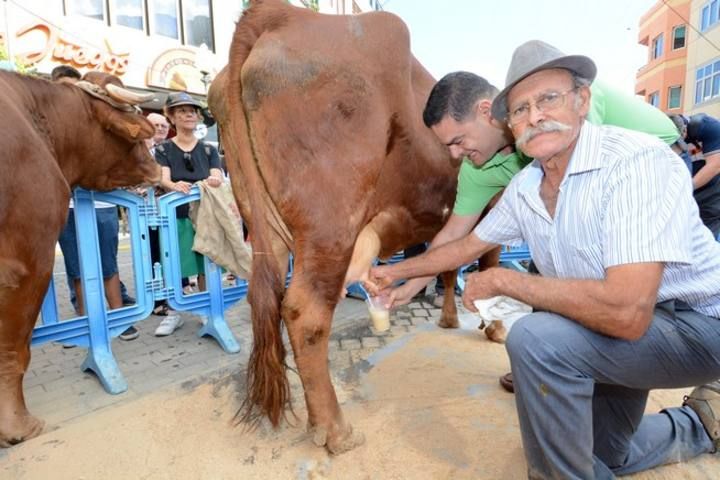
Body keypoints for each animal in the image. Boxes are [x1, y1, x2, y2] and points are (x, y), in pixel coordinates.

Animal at [208, 0, 478, 452]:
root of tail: (282, 14)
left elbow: (448, 264)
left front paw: (448, 318)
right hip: (330, 222)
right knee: (306, 311)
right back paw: (334, 430)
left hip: (264, 223)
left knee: (268, 298)